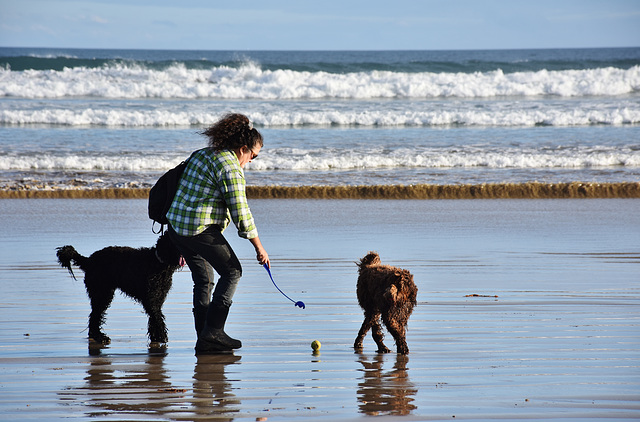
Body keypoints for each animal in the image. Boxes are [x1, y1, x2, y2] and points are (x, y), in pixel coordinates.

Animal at [56, 234, 184, 346]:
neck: (158, 262)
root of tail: (89, 260)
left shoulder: (158, 298)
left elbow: (154, 318)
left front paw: (156, 337)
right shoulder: (151, 300)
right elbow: (157, 318)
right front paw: (162, 336)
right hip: (102, 293)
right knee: (95, 316)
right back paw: (100, 337)